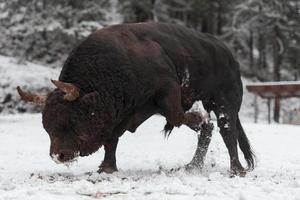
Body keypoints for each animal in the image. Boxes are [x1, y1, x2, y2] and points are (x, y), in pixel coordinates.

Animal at [17, 21, 254, 175]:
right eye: (46, 126)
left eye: (71, 119)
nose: (59, 156)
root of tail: (228, 54)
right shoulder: (125, 113)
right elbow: (112, 138)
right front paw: (106, 167)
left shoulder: (167, 92)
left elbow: (179, 118)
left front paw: (199, 117)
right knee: (213, 131)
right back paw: (192, 166)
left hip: (224, 103)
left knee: (227, 131)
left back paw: (236, 169)